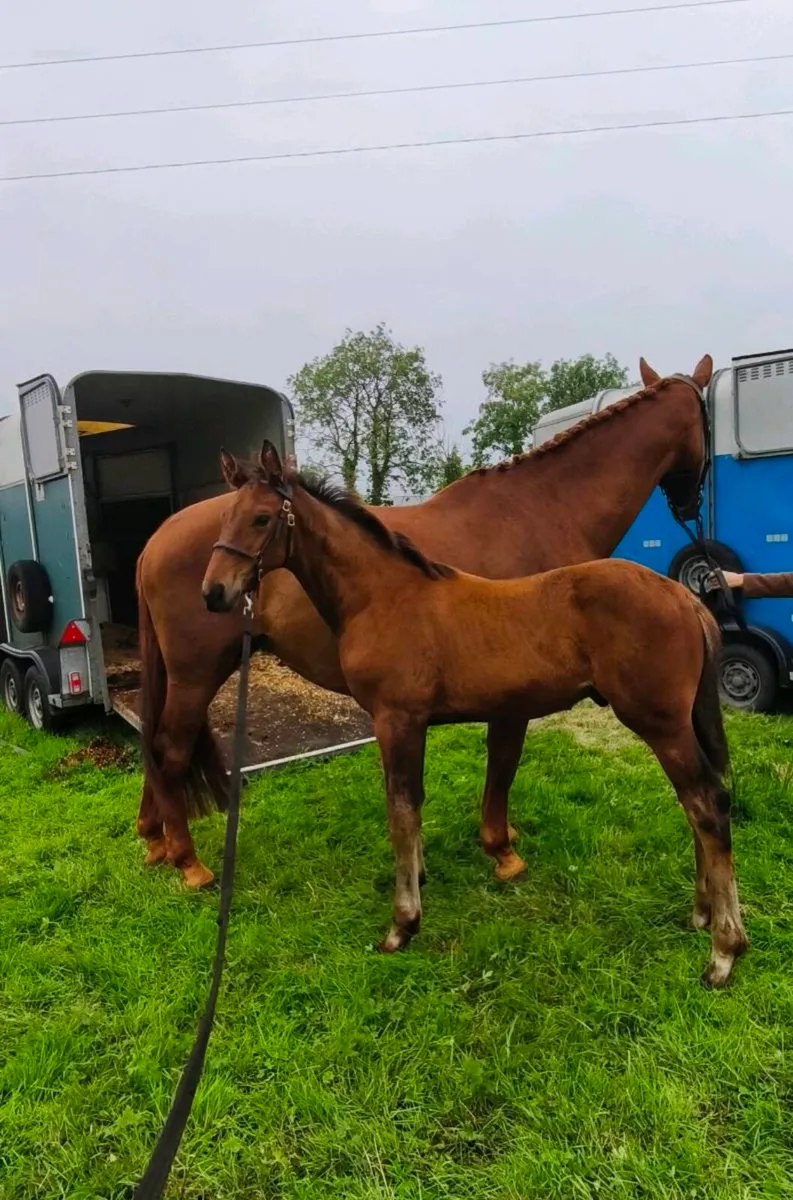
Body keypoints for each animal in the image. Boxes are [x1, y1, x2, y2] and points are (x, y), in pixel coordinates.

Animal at [137, 355, 713, 888]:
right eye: (708, 421)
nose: (691, 503)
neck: (540, 509)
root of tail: (156, 538)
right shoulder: (512, 694)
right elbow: (503, 761)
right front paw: (500, 847)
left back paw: (154, 841)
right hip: (195, 673)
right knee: (170, 750)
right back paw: (188, 862)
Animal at [200, 443, 747, 988]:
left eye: (262, 517)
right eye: (223, 518)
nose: (214, 592)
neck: (383, 596)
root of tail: (683, 596)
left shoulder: (396, 719)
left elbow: (401, 811)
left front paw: (403, 924)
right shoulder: (407, 723)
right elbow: (411, 807)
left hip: (661, 723)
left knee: (707, 804)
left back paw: (724, 951)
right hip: (678, 724)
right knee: (698, 803)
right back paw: (702, 914)